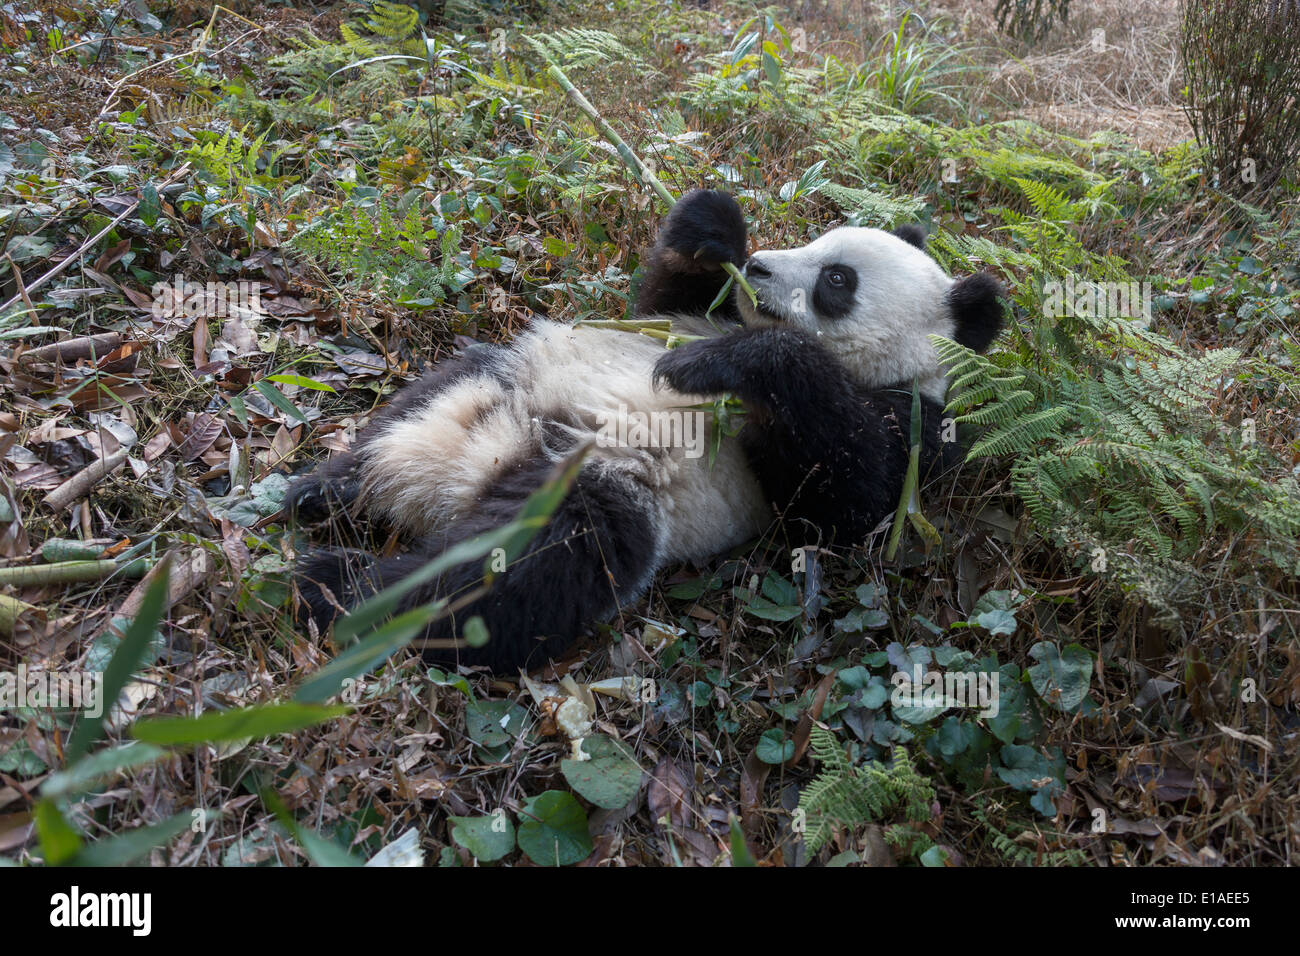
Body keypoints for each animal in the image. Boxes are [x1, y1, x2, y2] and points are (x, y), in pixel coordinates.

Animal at [289, 189, 1005, 671]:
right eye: (818, 241)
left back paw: (341, 589)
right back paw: (316, 494)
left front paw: (713, 365)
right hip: (504, 377)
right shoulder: (693, 312)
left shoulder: (915, 427)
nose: (761, 268)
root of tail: (473, 468)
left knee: (520, 570)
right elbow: (659, 298)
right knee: (419, 404)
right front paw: (716, 231)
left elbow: (844, 498)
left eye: (838, 280)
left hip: (607, 482)